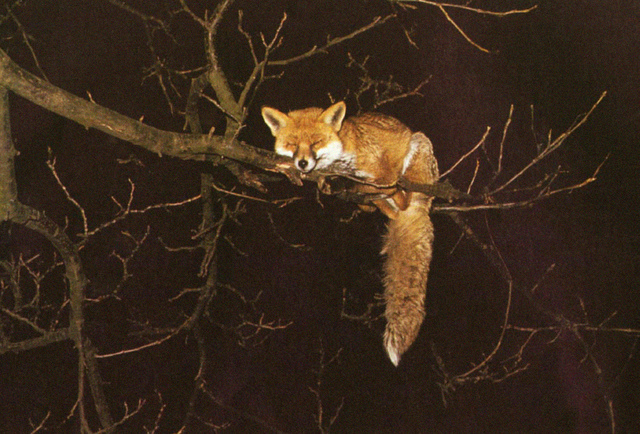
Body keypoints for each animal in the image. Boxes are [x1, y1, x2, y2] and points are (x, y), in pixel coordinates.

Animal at [262, 101, 439, 366]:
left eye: (315, 142)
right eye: (292, 144)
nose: (302, 164)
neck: (342, 156)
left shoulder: (383, 170)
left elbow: (381, 182)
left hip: (419, 147)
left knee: (402, 198)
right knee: (386, 208)